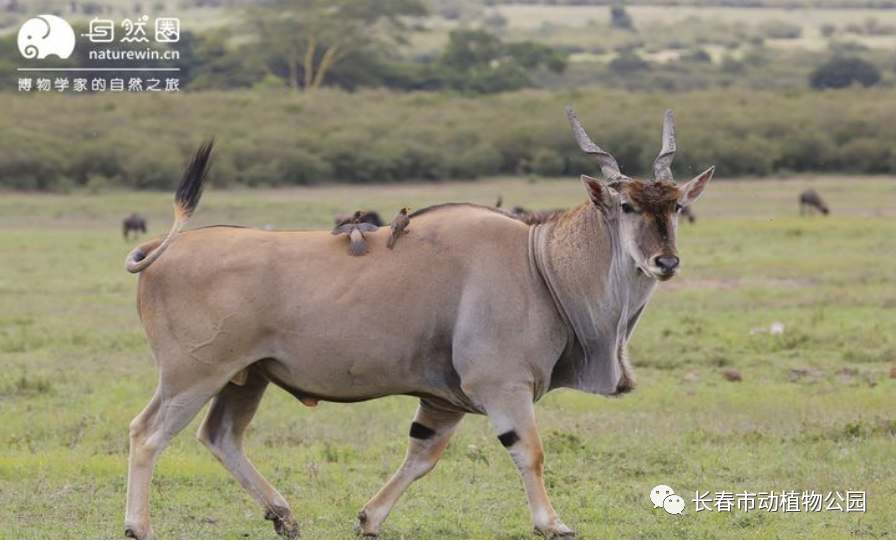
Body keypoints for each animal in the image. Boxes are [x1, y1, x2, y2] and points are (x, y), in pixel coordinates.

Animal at [124, 110, 712, 540]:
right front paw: (553, 524)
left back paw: (283, 515)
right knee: (147, 434)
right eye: (627, 206)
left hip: (247, 377)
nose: (666, 262)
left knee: (221, 436)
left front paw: (369, 519)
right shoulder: (501, 385)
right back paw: (139, 527)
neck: (539, 262)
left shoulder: (444, 400)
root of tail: (161, 248)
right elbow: (529, 451)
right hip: (194, 374)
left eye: (675, 207)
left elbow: (422, 454)